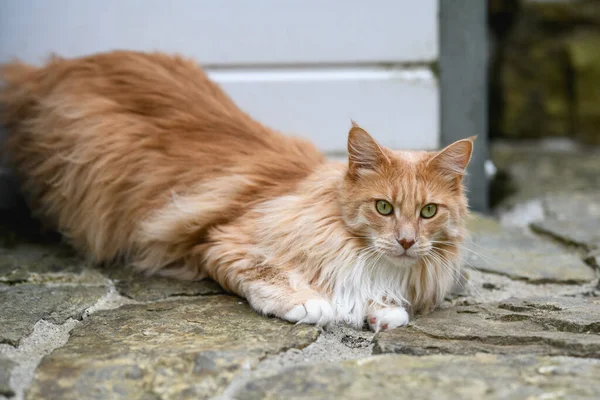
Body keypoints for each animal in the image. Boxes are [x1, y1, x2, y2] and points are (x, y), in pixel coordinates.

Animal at [2, 50, 476, 332]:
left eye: (428, 212)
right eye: (383, 207)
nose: (406, 241)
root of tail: (54, 67)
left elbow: (382, 302)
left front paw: (383, 308)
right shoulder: (223, 238)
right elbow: (267, 272)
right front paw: (310, 303)